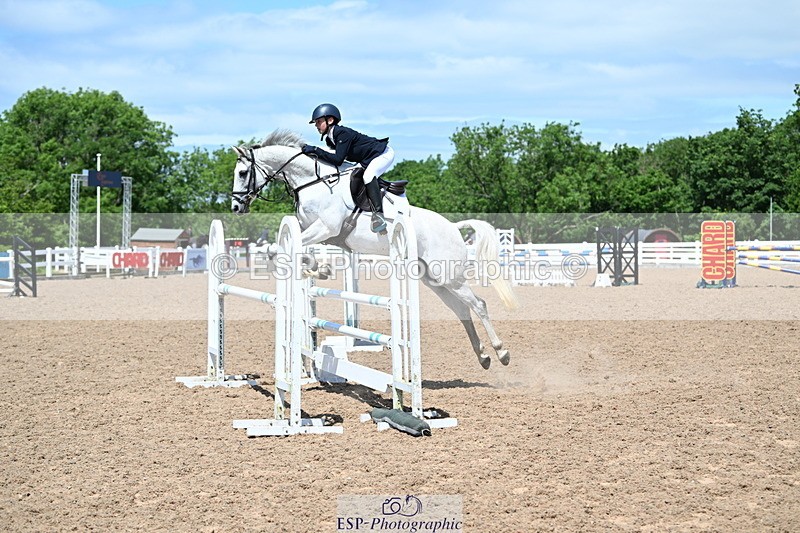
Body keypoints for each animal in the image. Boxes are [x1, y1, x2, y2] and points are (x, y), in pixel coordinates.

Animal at [231, 129, 517, 369]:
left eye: (243, 173)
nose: (235, 207)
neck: (313, 182)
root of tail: (453, 228)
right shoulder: (317, 232)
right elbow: (288, 248)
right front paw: (317, 269)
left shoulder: (326, 228)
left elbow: (288, 247)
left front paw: (319, 269)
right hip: (435, 279)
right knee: (462, 310)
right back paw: (483, 356)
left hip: (450, 276)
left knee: (479, 304)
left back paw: (501, 352)